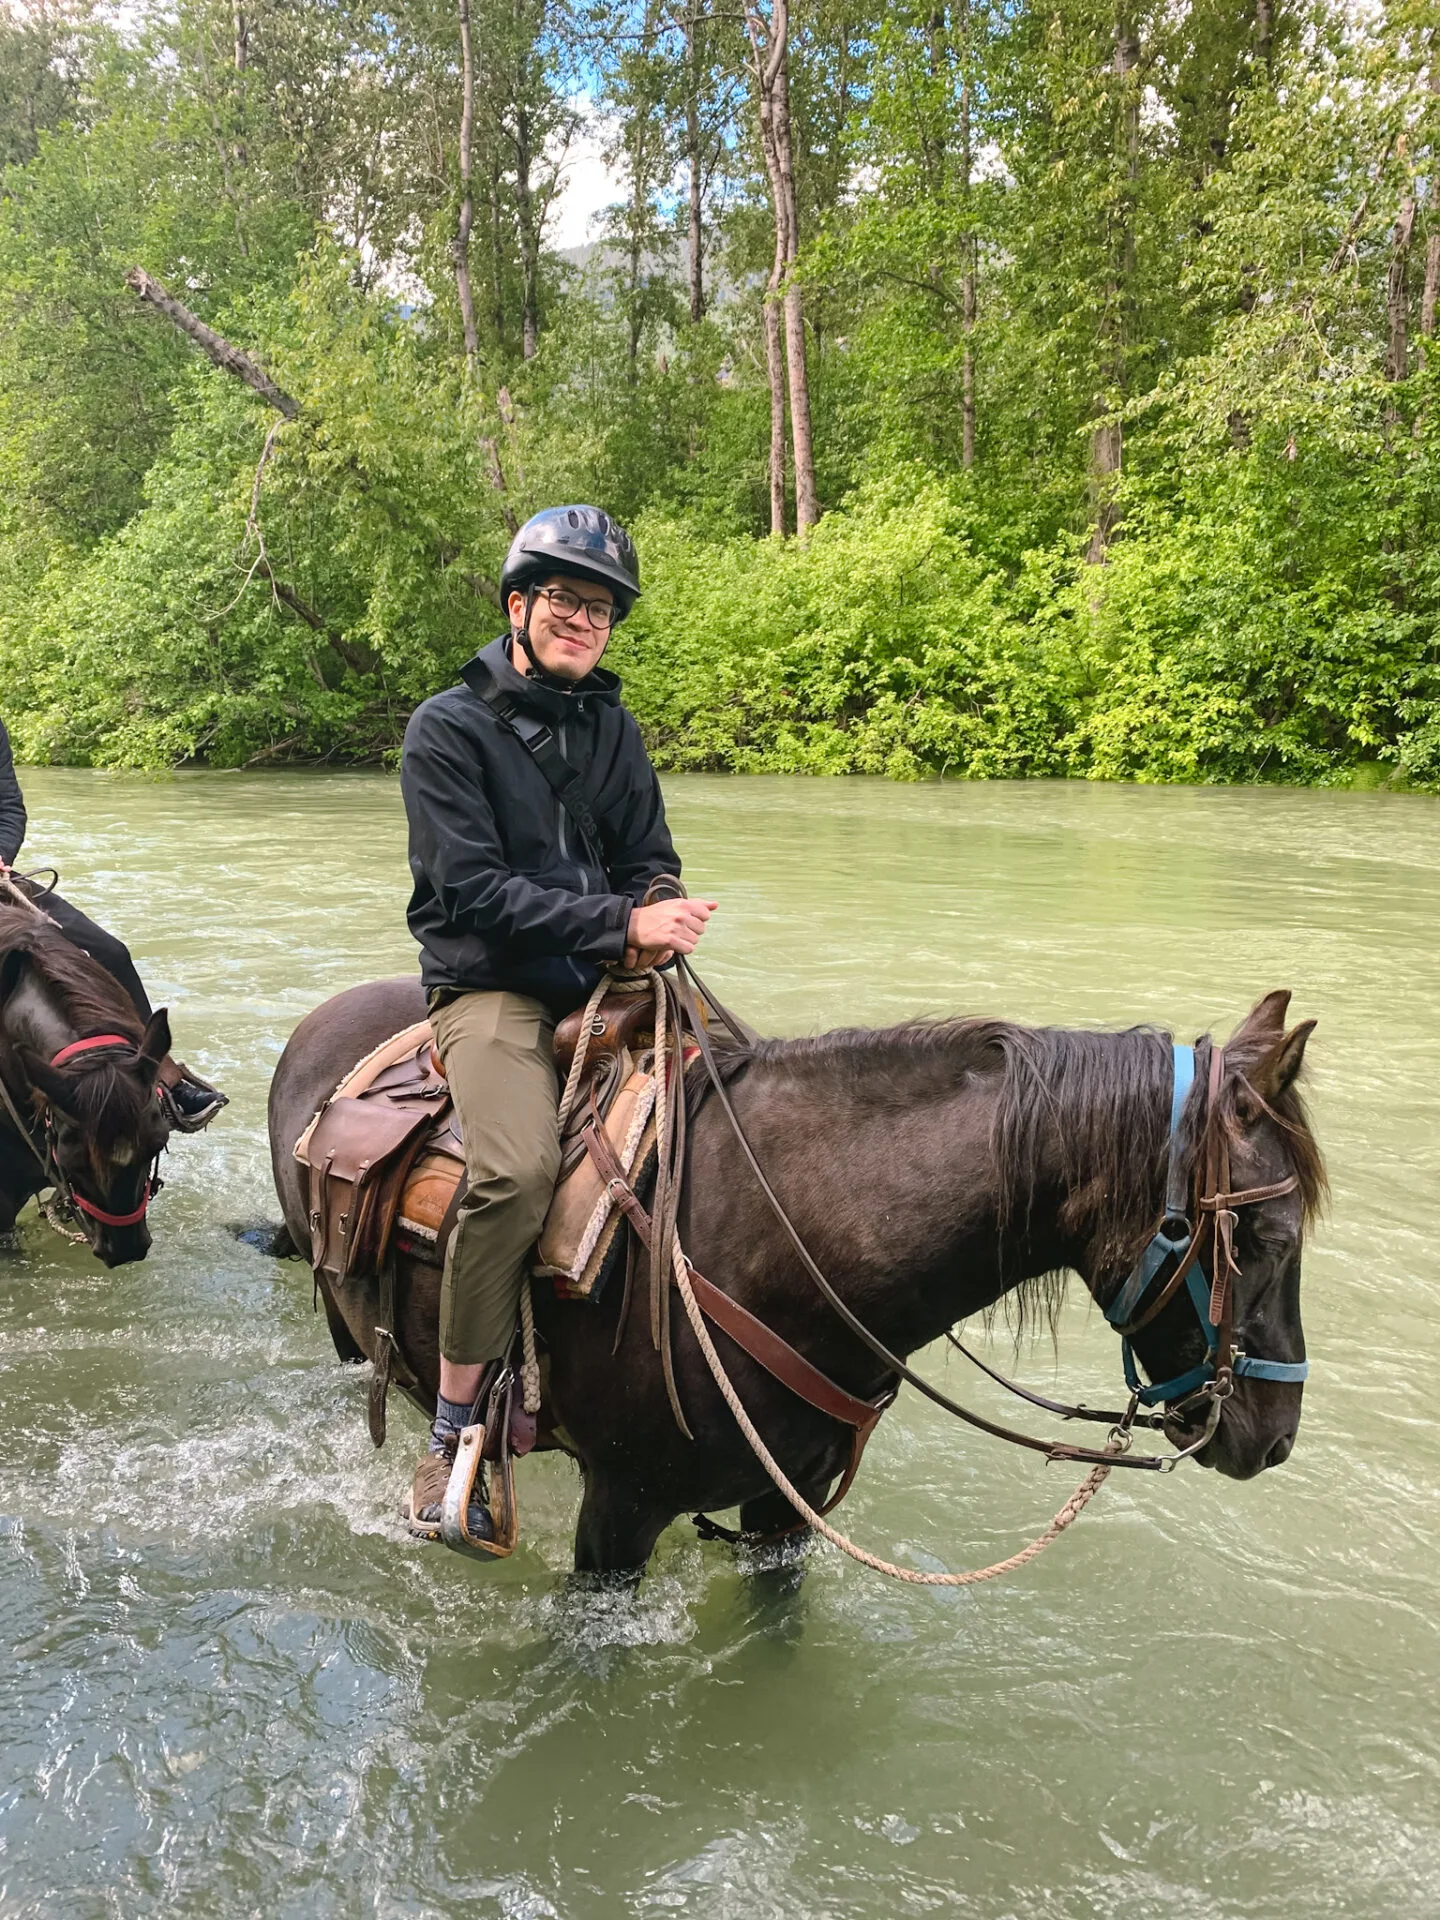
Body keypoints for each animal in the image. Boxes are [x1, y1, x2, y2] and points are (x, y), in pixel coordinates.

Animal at [264, 983, 1328, 1582]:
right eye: (1266, 1235)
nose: (1274, 1438)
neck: (779, 1252)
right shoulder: (621, 1513)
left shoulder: (789, 1509)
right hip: (350, 1331)